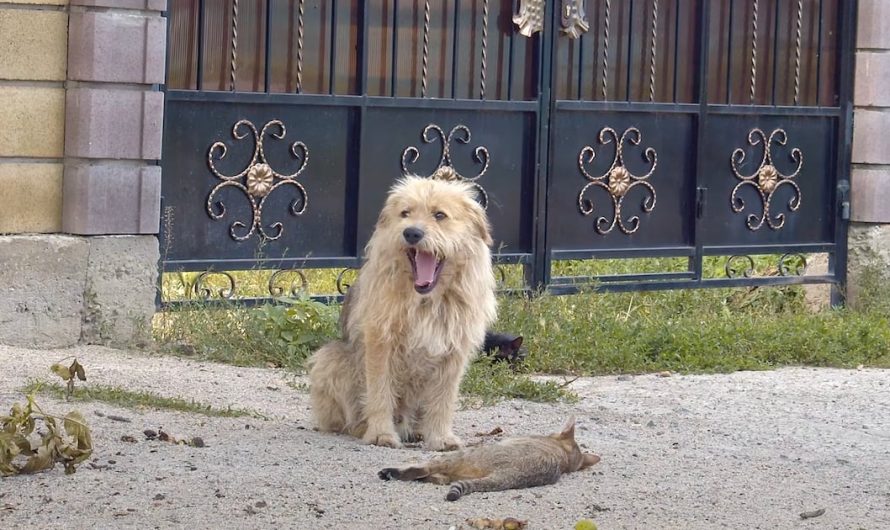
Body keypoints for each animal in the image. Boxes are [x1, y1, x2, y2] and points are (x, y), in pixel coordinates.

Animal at [308, 167, 496, 448]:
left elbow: (443, 400)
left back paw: (419, 431)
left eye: (439, 215)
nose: (412, 233)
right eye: (405, 213)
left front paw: (440, 437)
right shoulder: (381, 342)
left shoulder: (454, 351)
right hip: (330, 358)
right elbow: (380, 392)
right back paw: (364, 427)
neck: (426, 300)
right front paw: (380, 433)